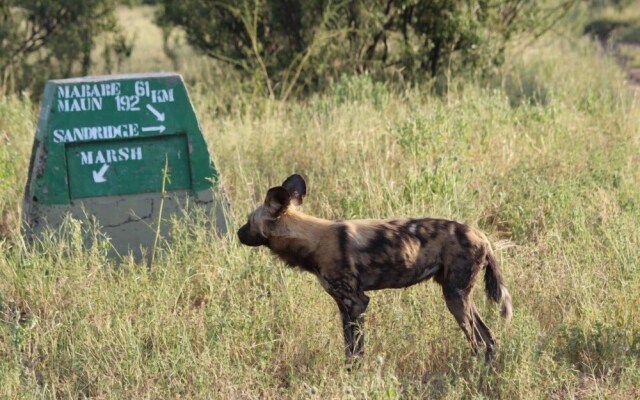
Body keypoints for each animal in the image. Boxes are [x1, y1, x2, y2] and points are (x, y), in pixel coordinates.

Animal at [238, 173, 512, 360]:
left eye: (249, 221)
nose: (238, 233)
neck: (312, 239)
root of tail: (482, 236)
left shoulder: (356, 302)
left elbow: (356, 351)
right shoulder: (343, 306)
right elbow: (348, 347)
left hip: (455, 298)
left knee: (478, 341)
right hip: (459, 295)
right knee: (489, 338)